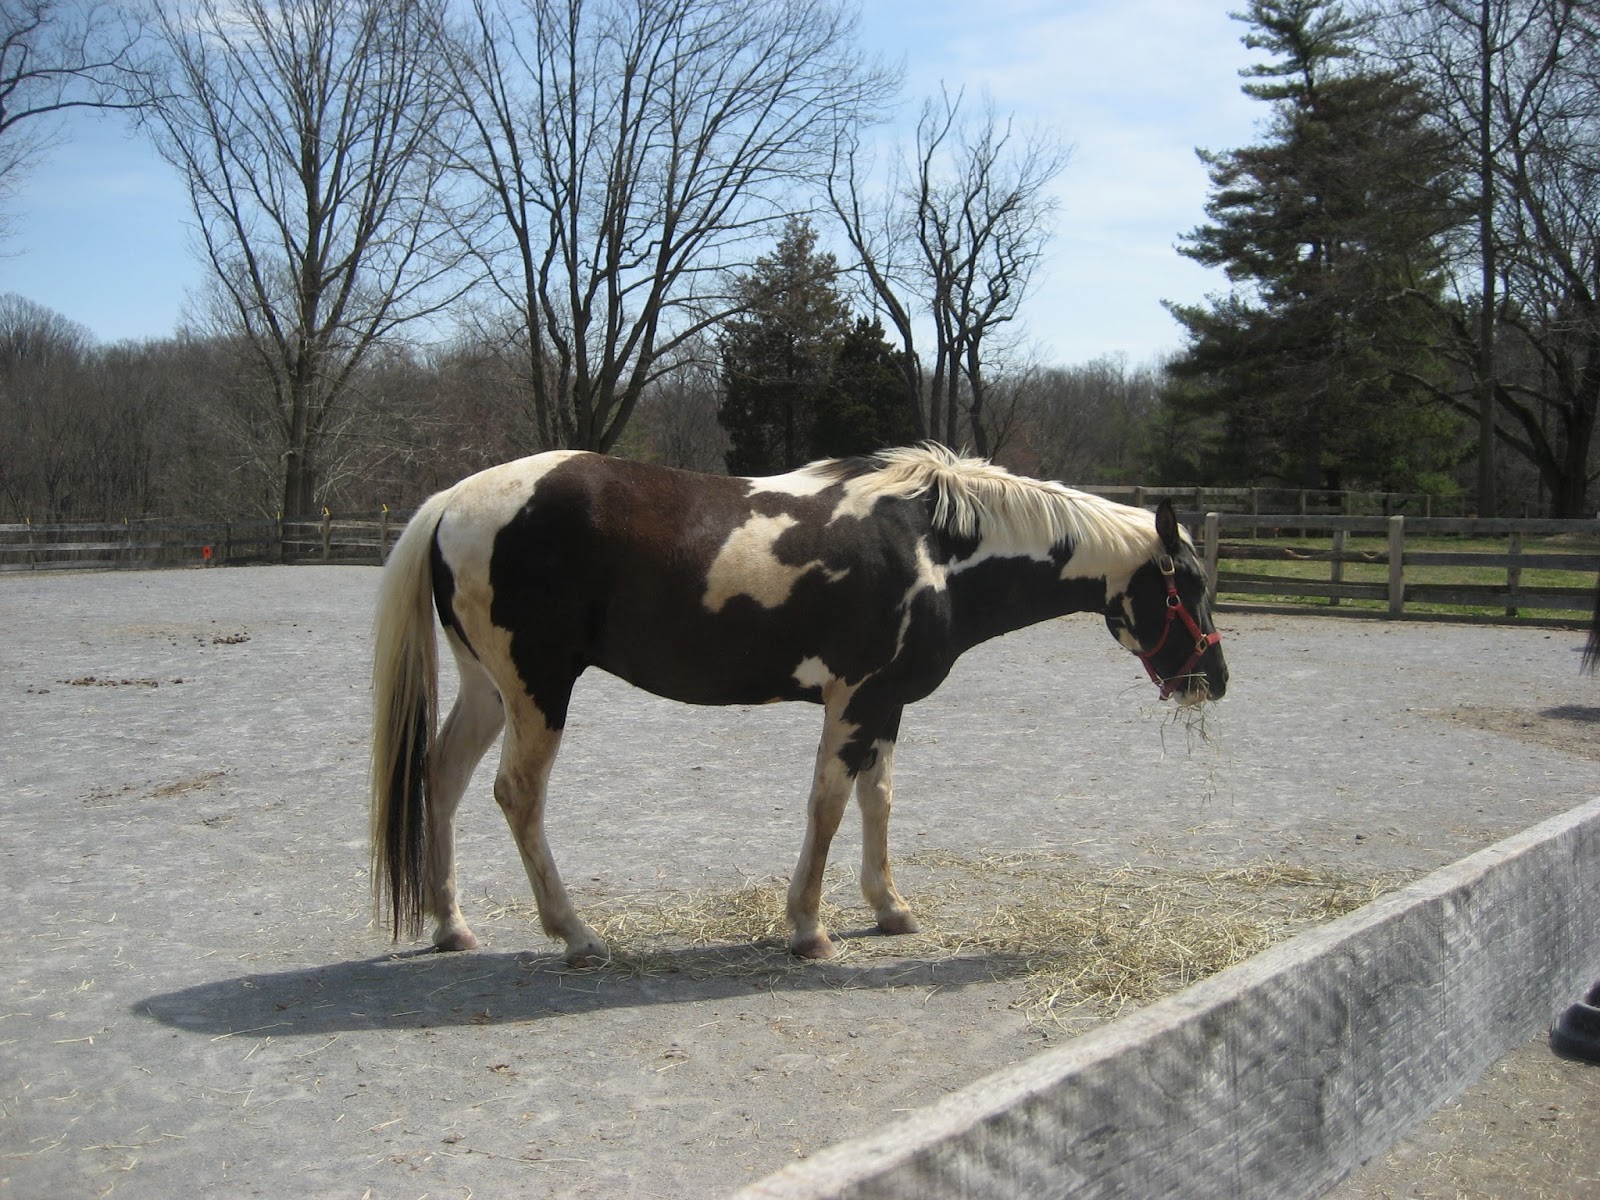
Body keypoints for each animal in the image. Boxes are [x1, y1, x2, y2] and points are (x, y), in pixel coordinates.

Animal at [369, 445, 1228, 966]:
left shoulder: (886, 705)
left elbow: (878, 801)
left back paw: (452, 924)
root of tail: (454, 500)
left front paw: (890, 908)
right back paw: (577, 935)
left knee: (441, 778)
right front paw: (808, 928)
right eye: (1186, 585)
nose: (1213, 679)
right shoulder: (853, 699)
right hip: (538, 689)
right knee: (517, 794)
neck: (935, 549)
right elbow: (828, 804)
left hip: (489, 688)